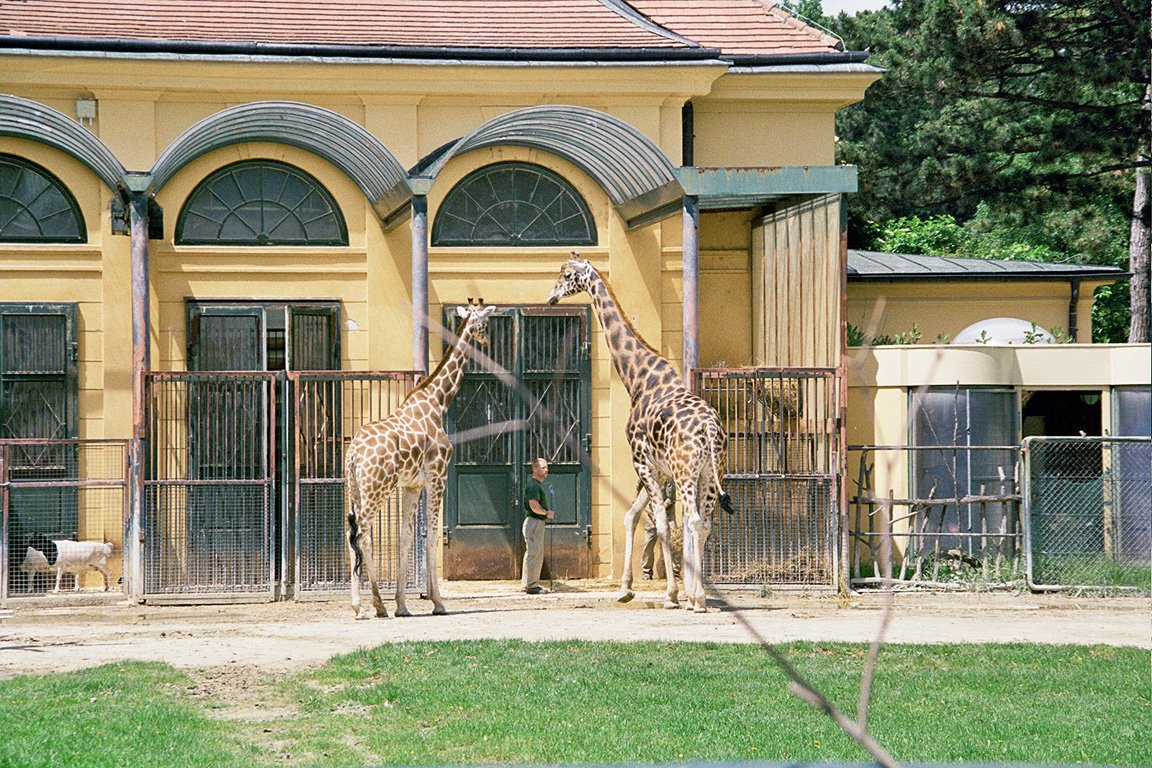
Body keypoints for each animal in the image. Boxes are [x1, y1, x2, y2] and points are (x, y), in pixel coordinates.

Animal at [340, 299, 495, 617]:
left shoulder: (412, 485)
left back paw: (359, 606)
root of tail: (353, 455)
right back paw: (376, 604)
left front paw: (402, 605)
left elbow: (406, 536)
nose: (487, 341)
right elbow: (432, 536)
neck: (437, 402)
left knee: (351, 536)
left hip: (356, 490)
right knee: (364, 535)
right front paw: (438, 602)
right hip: (377, 490)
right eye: (485, 323)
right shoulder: (437, 477)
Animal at [546, 255, 728, 617]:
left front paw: (672, 594)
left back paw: (697, 598)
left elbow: (661, 525)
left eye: (567, 275)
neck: (638, 377)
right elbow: (633, 517)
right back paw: (696, 597)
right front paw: (627, 588)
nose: (551, 298)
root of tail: (710, 429)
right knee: (703, 524)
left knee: (694, 522)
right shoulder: (656, 468)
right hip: (709, 475)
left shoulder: (642, 462)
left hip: (688, 473)